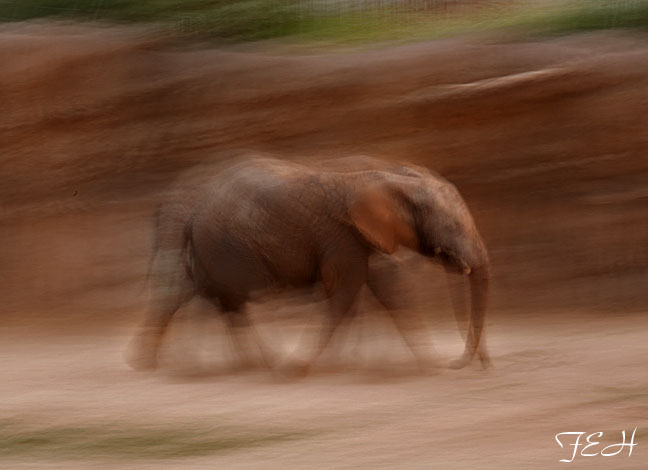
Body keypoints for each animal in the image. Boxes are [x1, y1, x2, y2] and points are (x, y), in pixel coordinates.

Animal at [128, 156, 490, 375]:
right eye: (453, 226)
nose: (465, 363)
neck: (392, 177)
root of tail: (194, 212)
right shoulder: (342, 237)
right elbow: (345, 293)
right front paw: (302, 367)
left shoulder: (366, 239)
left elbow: (388, 291)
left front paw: (427, 365)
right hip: (227, 247)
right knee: (232, 301)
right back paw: (266, 364)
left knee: (208, 296)